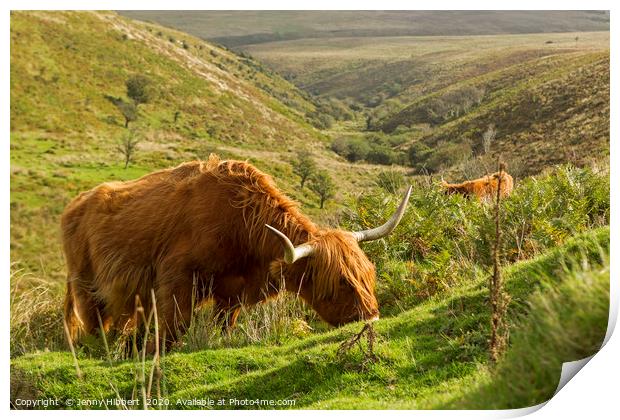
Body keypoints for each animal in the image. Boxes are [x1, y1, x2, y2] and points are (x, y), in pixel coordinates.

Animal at [61, 154, 412, 348]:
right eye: (341, 282)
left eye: (369, 275)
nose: (372, 317)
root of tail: (75, 204)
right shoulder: (176, 277)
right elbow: (174, 327)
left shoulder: (233, 292)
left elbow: (223, 326)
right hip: (86, 286)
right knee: (94, 325)